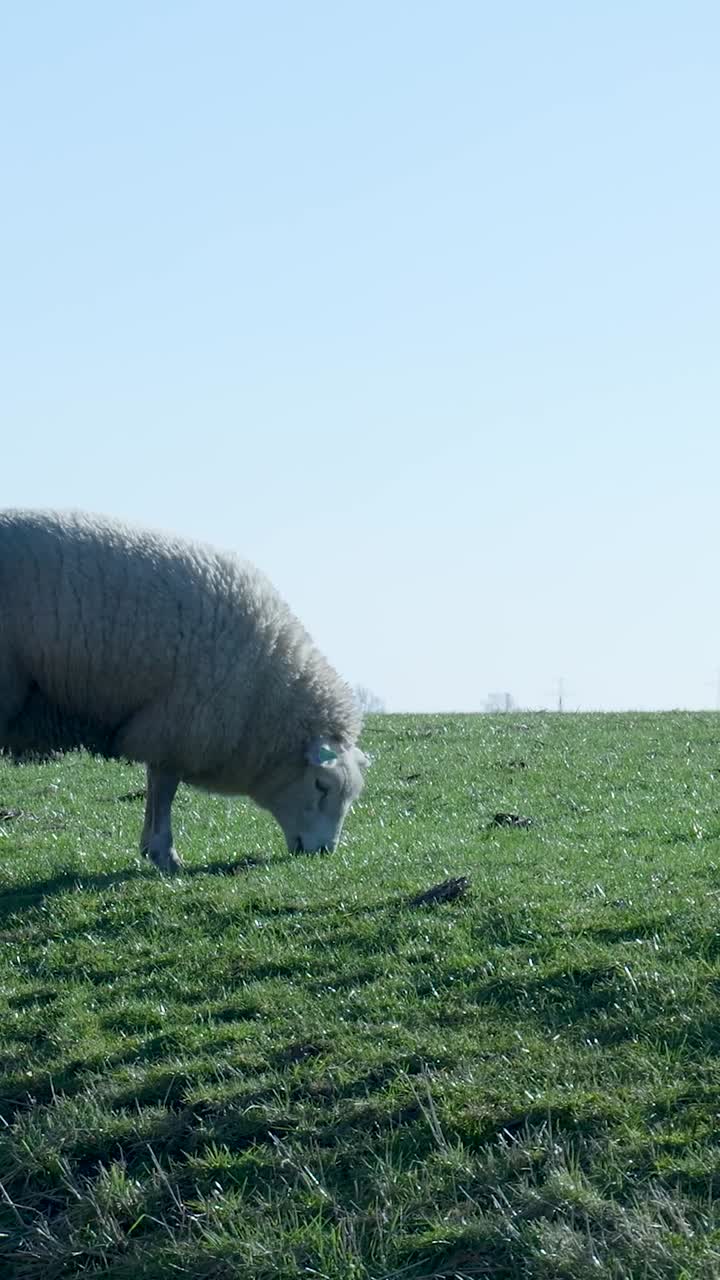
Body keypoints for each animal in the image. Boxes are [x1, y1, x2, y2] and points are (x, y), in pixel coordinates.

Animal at [0, 509, 369, 871]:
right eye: (322, 785)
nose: (324, 852)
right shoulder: (182, 721)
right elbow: (164, 789)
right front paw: (164, 854)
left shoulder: (169, 724)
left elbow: (155, 785)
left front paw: (151, 848)